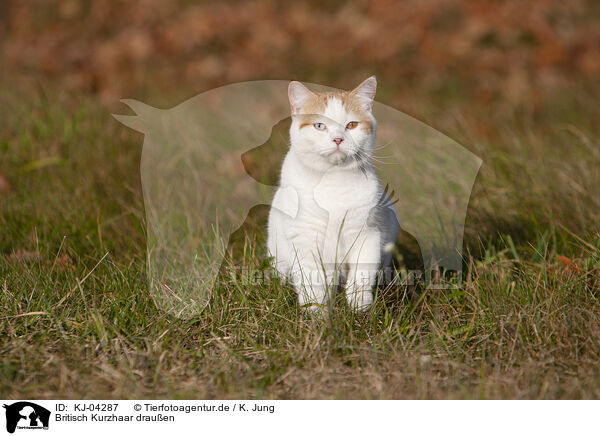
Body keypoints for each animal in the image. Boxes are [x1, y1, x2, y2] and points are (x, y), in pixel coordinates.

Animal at [268, 76, 398, 312]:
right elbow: (313, 282)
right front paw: (316, 313)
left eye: (352, 125)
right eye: (320, 126)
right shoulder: (306, 239)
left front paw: (359, 307)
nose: (338, 139)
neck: (333, 180)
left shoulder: (367, 234)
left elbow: (361, 274)